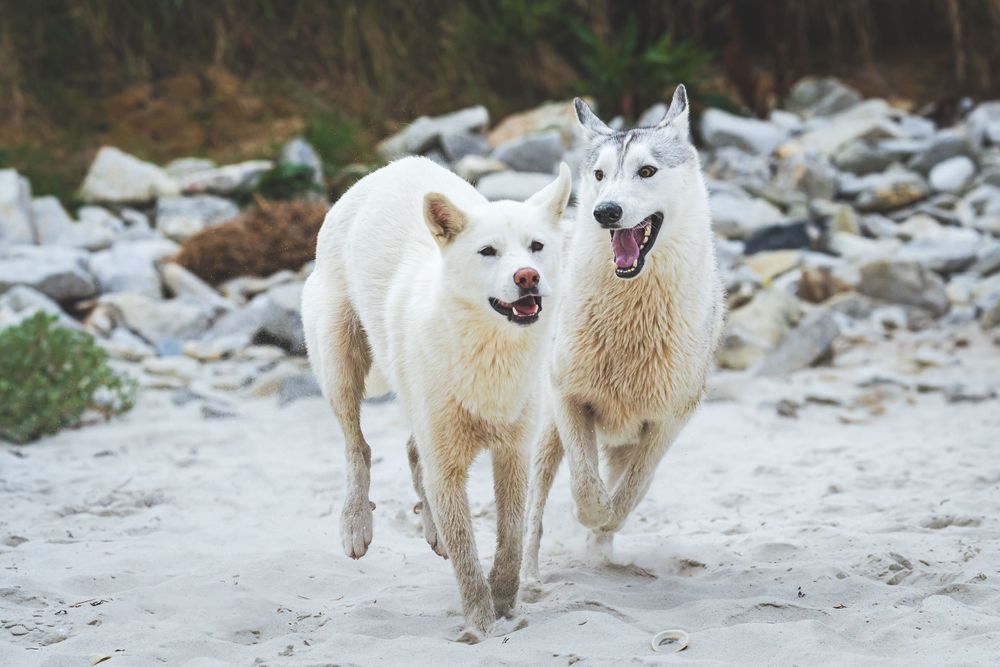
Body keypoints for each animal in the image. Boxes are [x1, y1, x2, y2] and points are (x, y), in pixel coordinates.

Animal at [301, 156, 572, 635]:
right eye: (488, 252)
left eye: (536, 246)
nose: (528, 276)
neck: (490, 350)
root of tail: (388, 169)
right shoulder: (447, 467)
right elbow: (466, 554)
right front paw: (482, 624)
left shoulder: (514, 455)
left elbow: (510, 540)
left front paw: (505, 602)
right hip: (339, 362)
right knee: (357, 446)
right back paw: (355, 523)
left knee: (412, 452)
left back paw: (430, 529)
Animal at [524, 85, 724, 578]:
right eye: (599, 174)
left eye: (646, 171)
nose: (605, 211)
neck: (633, 315)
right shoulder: (571, 400)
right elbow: (585, 484)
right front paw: (591, 514)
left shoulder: (667, 421)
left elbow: (632, 492)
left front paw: (603, 531)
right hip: (546, 431)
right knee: (534, 505)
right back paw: (529, 576)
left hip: (622, 439)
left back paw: (602, 553)